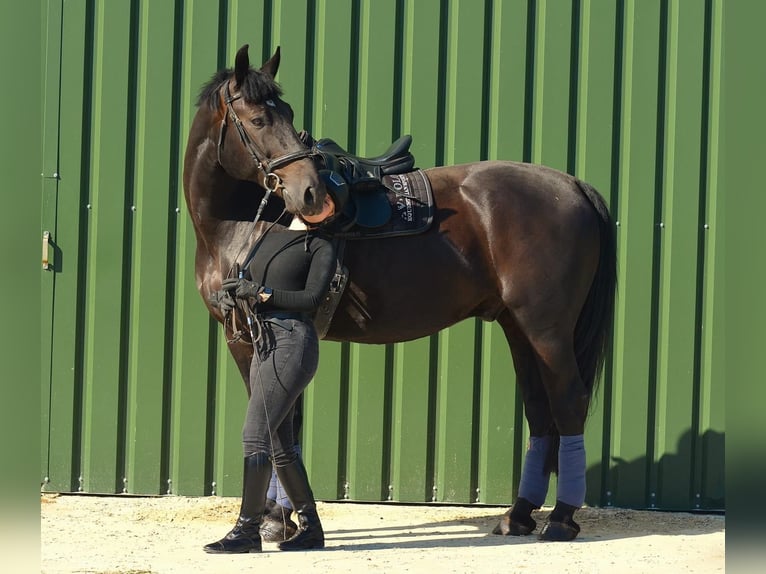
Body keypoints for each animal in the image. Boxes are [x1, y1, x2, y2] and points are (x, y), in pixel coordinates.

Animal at [184, 46, 616, 544]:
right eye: (257, 119)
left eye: (286, 114)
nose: (311, 195)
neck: (237, 225)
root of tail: (573, 186)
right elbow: (285, 422)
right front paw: (285, 518)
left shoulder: (249, 336)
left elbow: (273, 420)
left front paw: (272, 519)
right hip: (519, 329)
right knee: (540, 411)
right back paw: (520, 515)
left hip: (547, 330)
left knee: (569, 404)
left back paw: (561, 518)